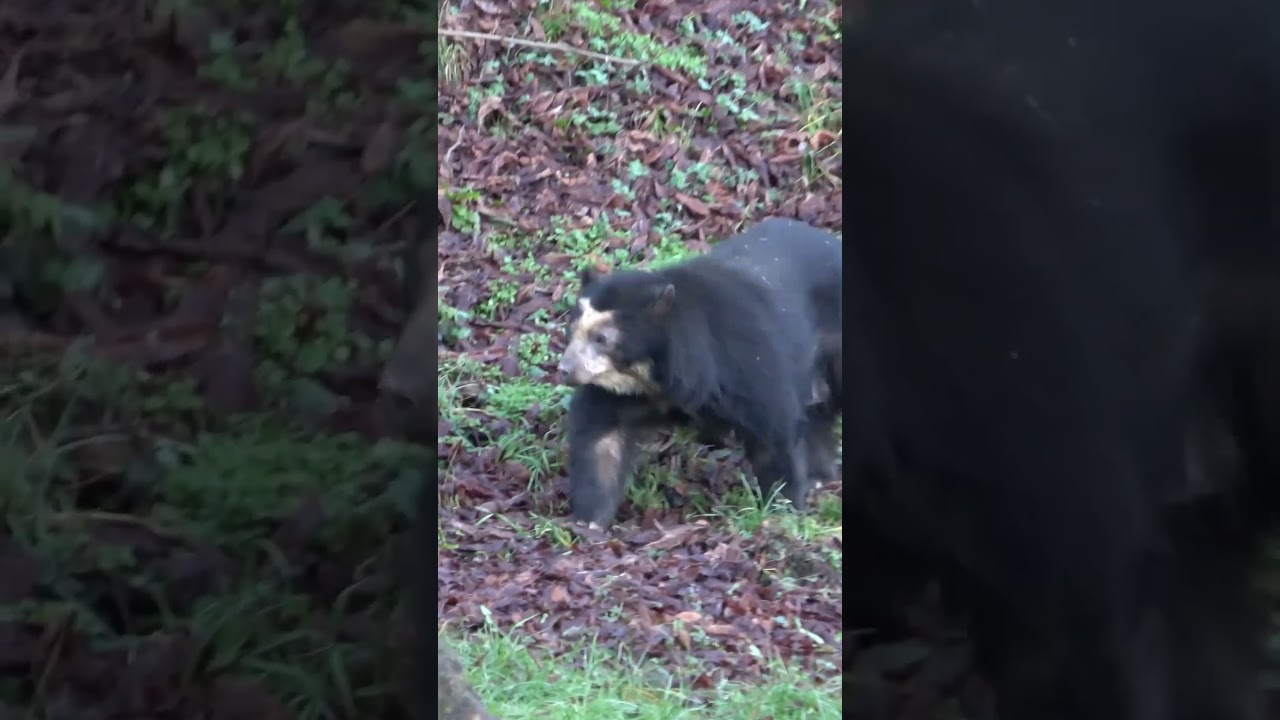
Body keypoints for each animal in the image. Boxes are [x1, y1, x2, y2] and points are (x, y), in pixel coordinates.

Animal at [556, 217, 842, 527]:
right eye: (573, 329)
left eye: (602, 338)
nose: (564, 370)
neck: (654, 373)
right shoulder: (627, 393)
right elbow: (600, 437)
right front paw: (589, 522)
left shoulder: (746, 364)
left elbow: (772, 428)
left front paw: (782, 508)